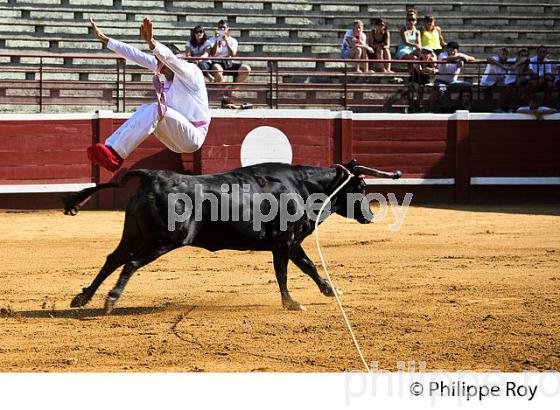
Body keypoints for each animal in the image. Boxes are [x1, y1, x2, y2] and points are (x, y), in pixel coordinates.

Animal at [63, 159, 400, 312]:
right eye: (361, 187)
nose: (369, 215)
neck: (303, 186)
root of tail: (152, 176)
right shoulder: (285, 241)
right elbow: (285, 272)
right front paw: (291, 302)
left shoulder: (291, 243)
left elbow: (308, 267)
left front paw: (330, 291)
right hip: (164, 240)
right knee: (130, 264)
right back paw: (110, 300)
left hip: (133, 235)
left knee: (112, 259)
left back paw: (83, 297)